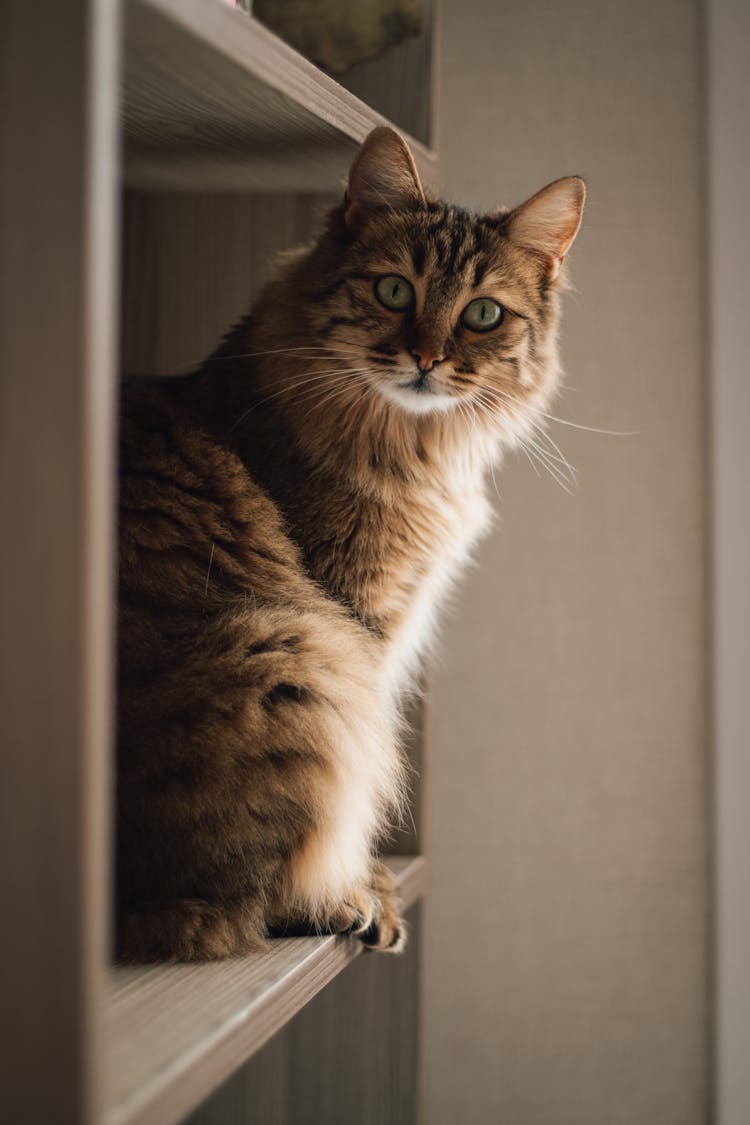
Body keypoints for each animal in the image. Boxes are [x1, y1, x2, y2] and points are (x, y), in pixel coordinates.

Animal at [117, 127, 584, 963]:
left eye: (483, 314)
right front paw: (361, 887)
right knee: (250, 901)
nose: (428, 358)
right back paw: (331, 903)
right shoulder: (362, 619)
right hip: (299, 652)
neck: (409, 443)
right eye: (395, 291)